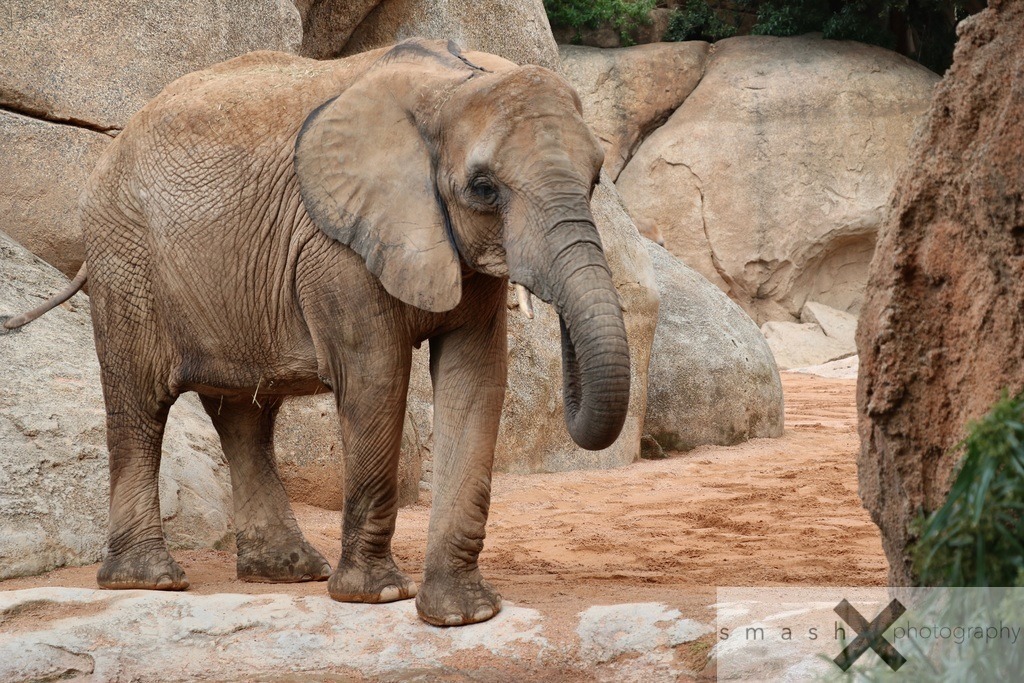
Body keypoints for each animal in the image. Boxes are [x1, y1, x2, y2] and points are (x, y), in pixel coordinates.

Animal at [4, 38, 630, 626]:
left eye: (596, 177)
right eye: (483, 188)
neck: (455, 82)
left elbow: (475, 381)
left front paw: (462, 614)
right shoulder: (333, 249)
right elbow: (377, 378)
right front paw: (377, 596)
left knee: (243, 415)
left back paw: (286, 571)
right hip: (126, 256)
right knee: (140, 403)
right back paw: (151, 580)